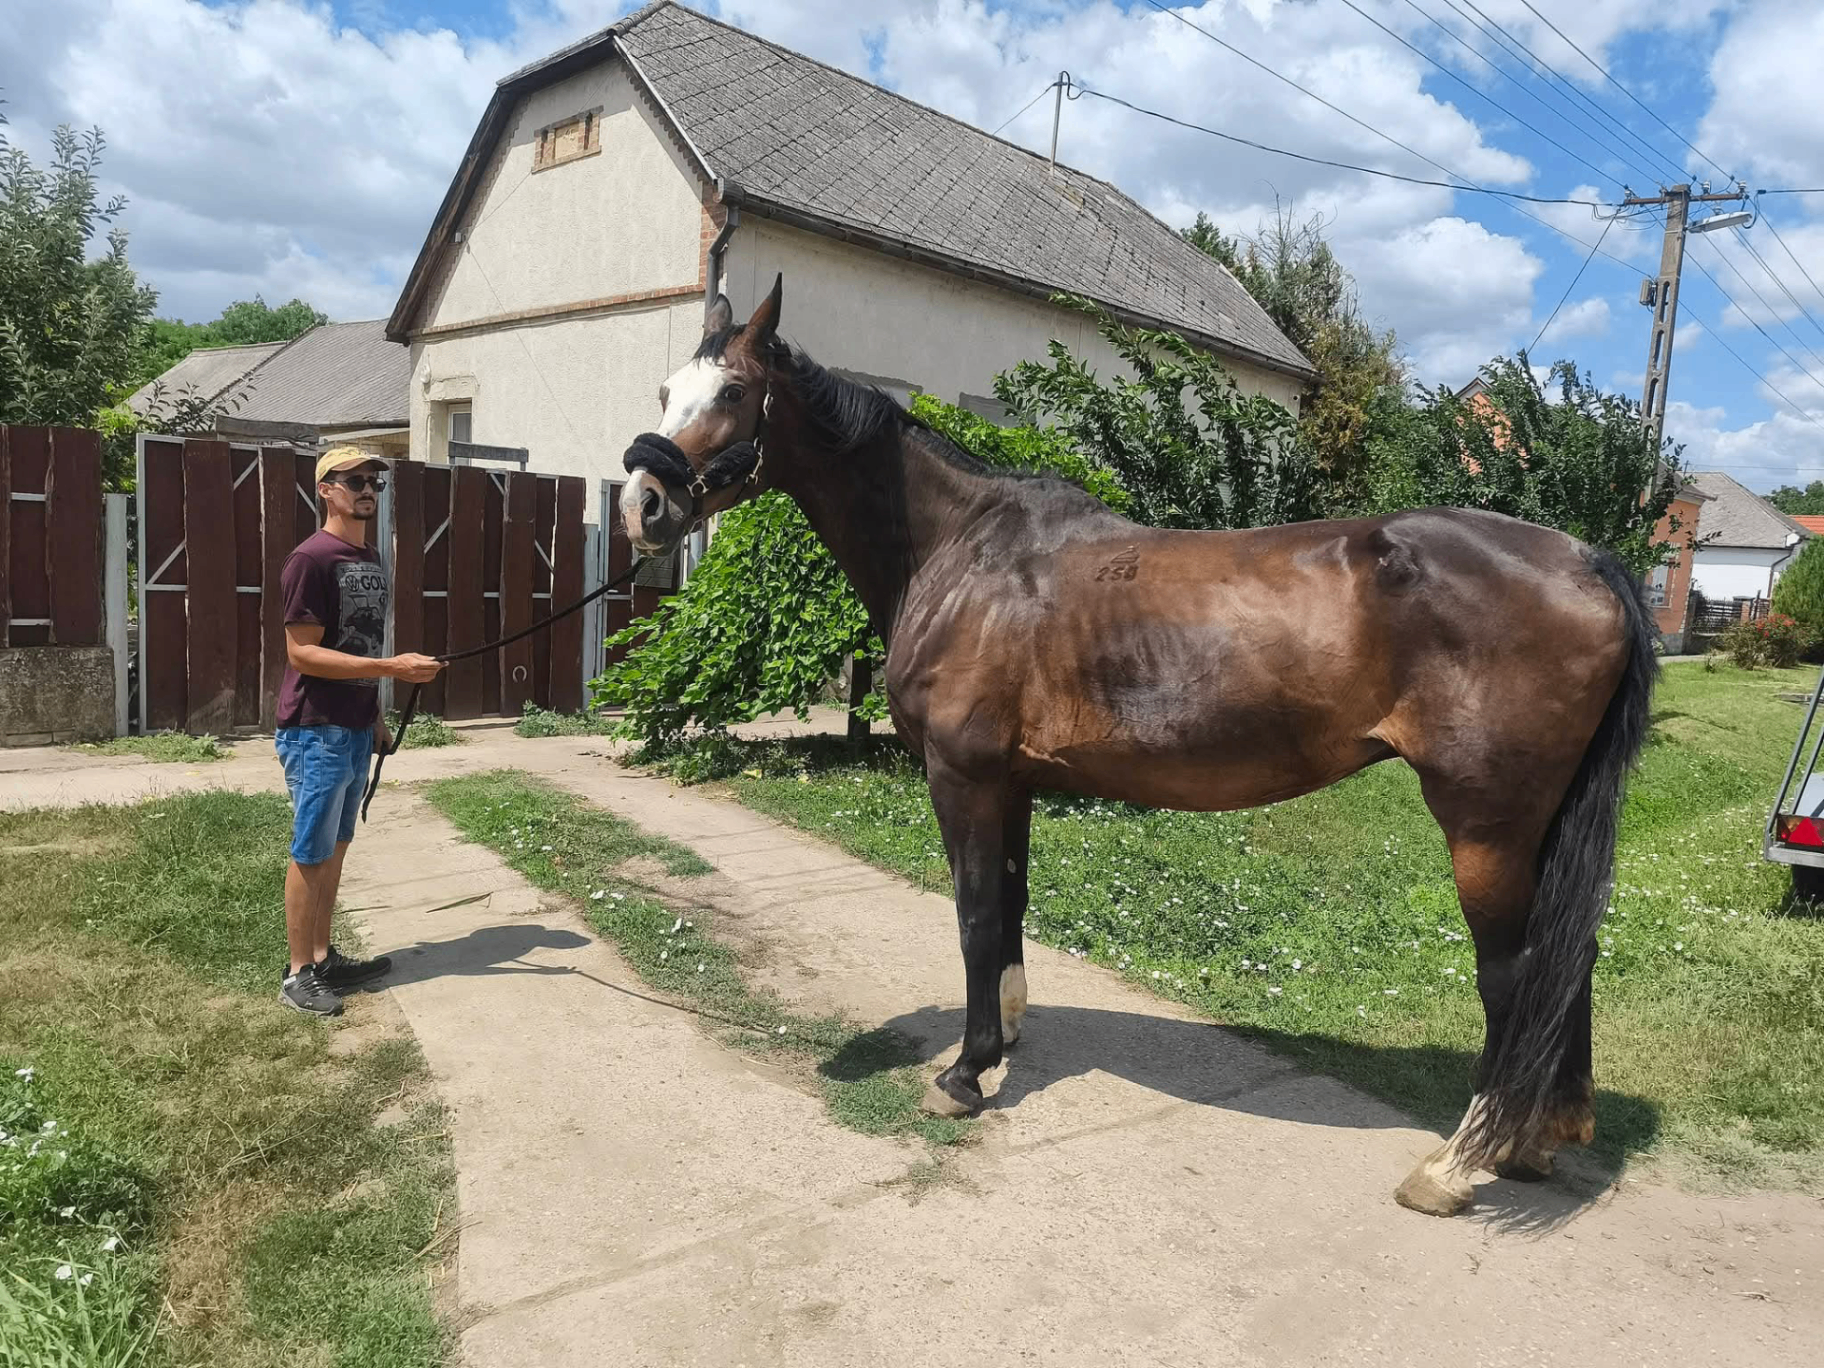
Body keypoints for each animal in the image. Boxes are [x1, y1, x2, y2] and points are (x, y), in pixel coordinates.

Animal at [619, 277, 1655, 1217]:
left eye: (733, 394)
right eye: (664, 390)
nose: (644, 506)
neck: (964, 554)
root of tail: (1587, 560)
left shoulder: (962, 776)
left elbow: (972, 914)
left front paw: (964, 1073)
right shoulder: (1012, 783)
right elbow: (1009, 905)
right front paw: (1006, 1034)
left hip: (1485, 824)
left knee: (1517, 973)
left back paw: (1458, 1164)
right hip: (1538, 827)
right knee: (1575, 957)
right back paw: (1540, 1140)